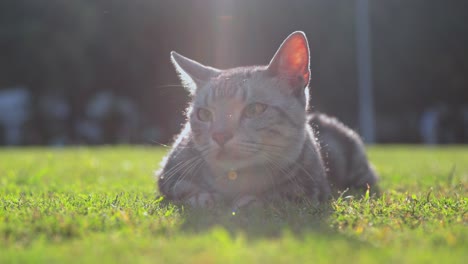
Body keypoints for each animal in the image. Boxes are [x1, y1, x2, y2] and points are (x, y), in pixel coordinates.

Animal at [156, 31, 376, 211]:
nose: (219, 135)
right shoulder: (167, 174)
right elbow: (183, 186)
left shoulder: (314, 187)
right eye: (204, 114)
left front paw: (254, 201)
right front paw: (203, 197)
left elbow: (284, 195)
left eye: (254, 109)